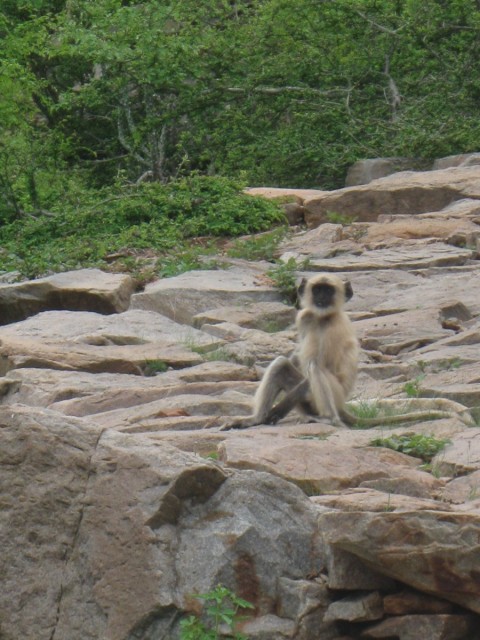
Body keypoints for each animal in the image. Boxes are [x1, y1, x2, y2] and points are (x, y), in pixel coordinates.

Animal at [221, 273, 474, 430]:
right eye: (318, 290)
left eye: (329, 290)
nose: (322, 298)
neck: (323, 319)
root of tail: (342, 405)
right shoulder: (304, 317)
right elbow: (295, 357)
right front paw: (269, 415)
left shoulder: (334, 330)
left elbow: (320, 366)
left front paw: (277, 412)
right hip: (309, 402)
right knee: (281, 364)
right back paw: (256, 419)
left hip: (332, 395)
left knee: (314, 368)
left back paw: (329, 419)